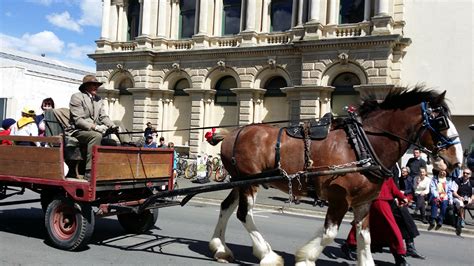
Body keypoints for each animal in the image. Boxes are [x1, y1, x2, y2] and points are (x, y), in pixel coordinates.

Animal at [205, 86, 462, 264]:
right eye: (441, 122)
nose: (456, 161)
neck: (362, 144)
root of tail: (232, 133)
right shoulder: (340, 199)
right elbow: (329, 234)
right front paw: (305, 258)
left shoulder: (363, 202)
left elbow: (365, 237)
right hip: (249, 183)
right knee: (244, 214)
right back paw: (267, 254)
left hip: (240, 182)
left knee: (226, 207)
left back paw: (221, 248)